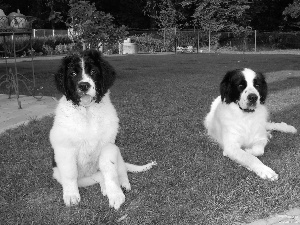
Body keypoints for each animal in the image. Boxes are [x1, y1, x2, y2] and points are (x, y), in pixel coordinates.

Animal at [49, 49, 157, 209]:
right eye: (73, 74)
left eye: (93, 71)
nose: (84, 86)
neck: (88, 113)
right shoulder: (65, 149)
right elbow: (70, 173)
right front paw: (71, 195)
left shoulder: (108, 146)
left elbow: (110, 170)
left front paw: (116, 195)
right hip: (67, 175)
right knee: (97, 176)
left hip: (117, 151)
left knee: (120, 169)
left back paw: (122, 184)